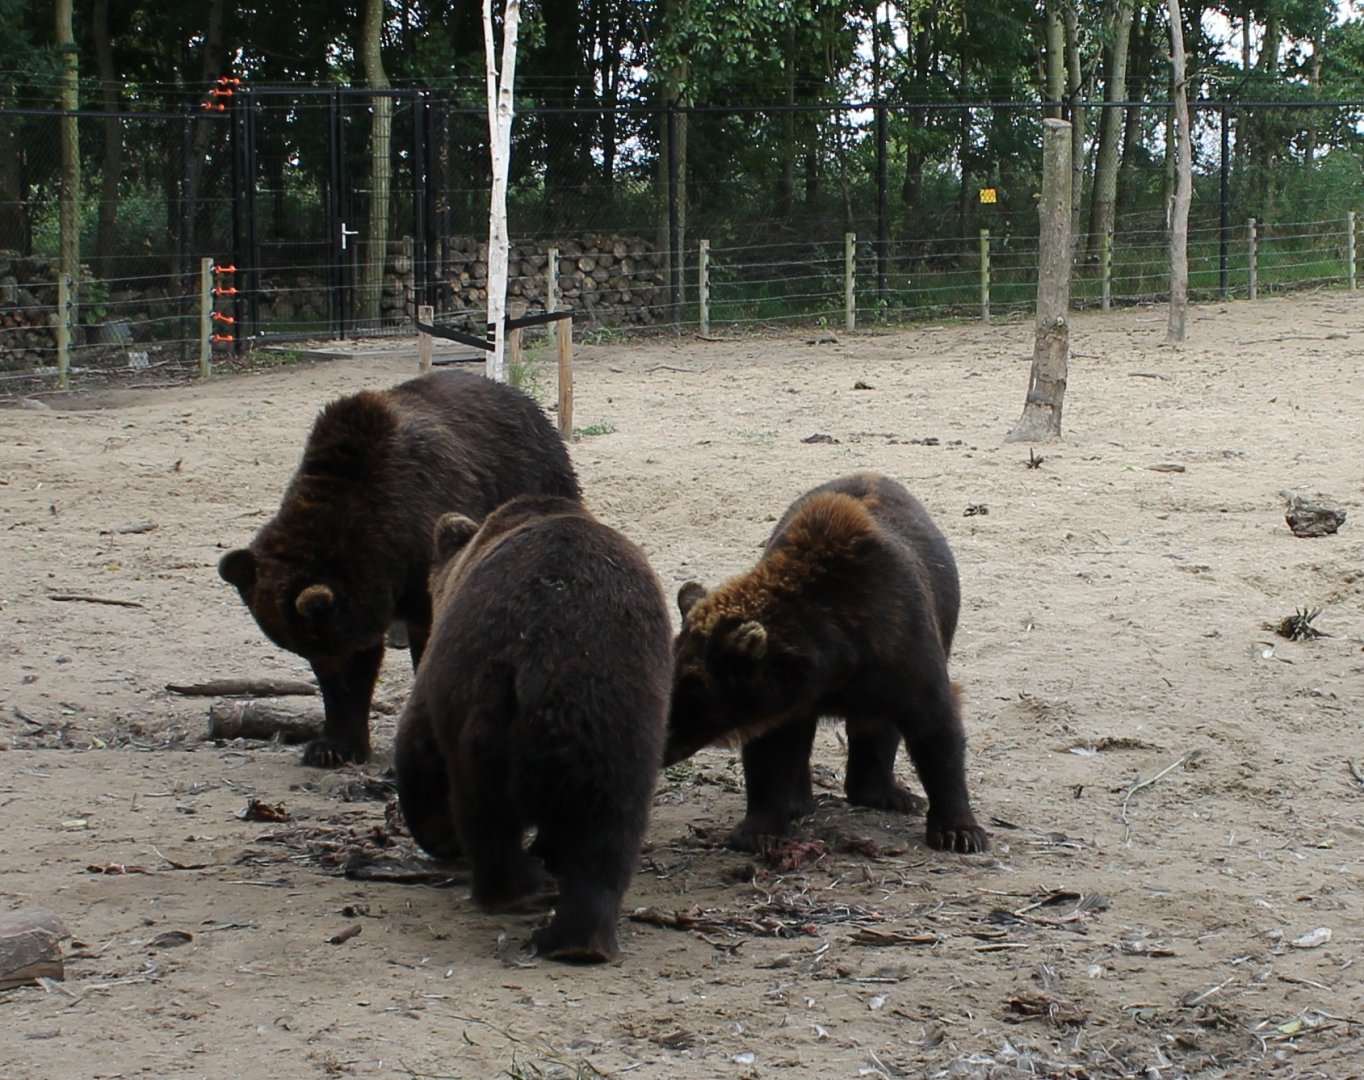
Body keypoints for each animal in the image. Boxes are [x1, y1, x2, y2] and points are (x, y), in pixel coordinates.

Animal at [218, 369, 580, 768]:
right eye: (302, 651)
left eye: (320, 646)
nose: (327, 674)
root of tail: (515, 395)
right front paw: (332, 745)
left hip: (531, 478)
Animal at [394, 494, 672, 963]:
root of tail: (541, 651)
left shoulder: (436, 674)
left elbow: (419, 742)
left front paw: (440, 836)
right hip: (620, 714)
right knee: (611, 825)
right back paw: (577, 937)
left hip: (484, 705)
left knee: (483, 808)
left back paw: (517, 889)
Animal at [665, 471, 989, 855]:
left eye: (693, 686)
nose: (658, 744)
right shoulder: (785, 698)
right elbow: (771, 751)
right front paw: (760, 829)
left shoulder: (904, 651)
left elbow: (937, 733)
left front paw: (959, 830)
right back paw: (799, 799)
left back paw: (888, 794)